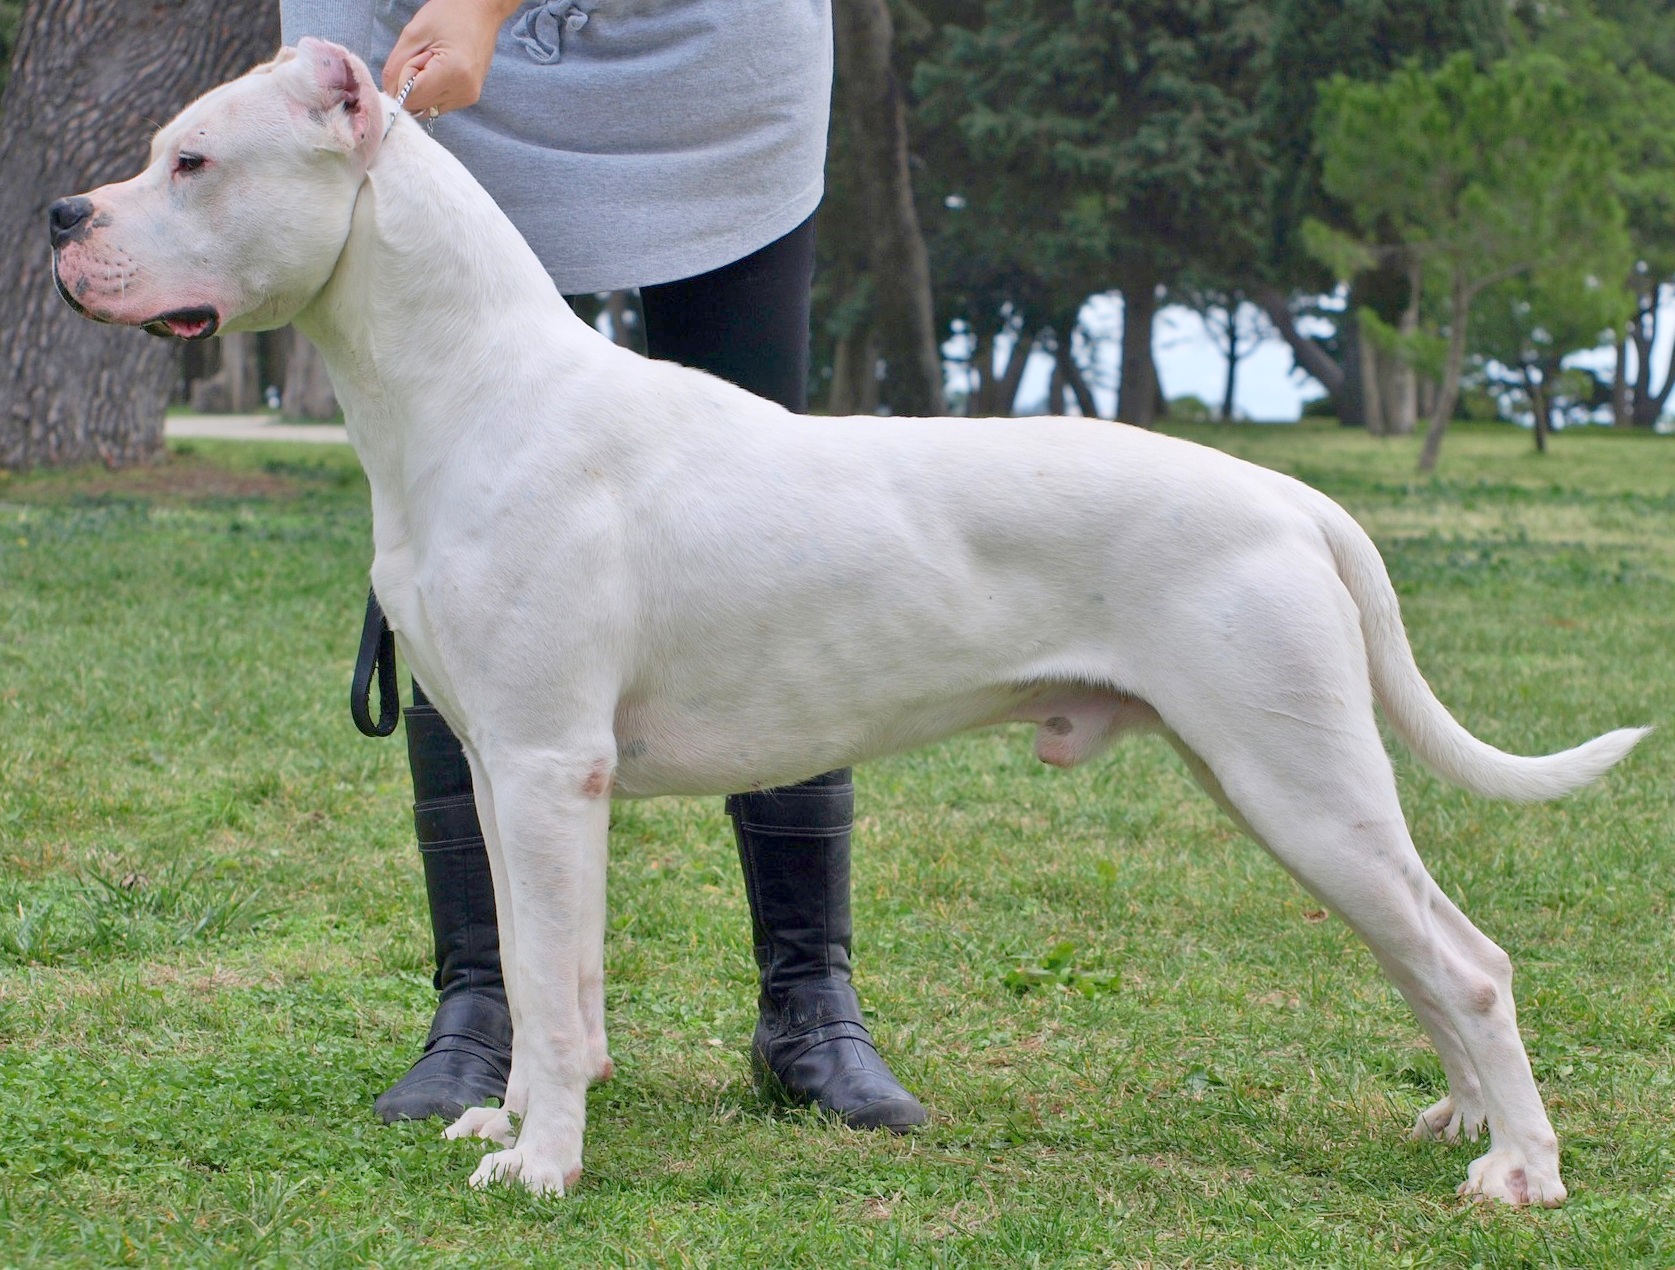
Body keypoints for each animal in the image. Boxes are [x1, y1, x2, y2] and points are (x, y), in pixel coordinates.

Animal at [55, 42, 1648, 1213]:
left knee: (1466, 961)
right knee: (1423, 950)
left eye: (191, 160)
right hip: (1280, 782)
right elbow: (534, 965)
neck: (468, 384)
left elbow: (556, 999)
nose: (65, 218)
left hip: (1295, 776)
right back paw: (1460, 1118)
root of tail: (1291, 495)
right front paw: (506, 1123)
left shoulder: (551, 767)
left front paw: (547, 1165)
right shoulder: (505, 773)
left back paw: (1519, 1170)